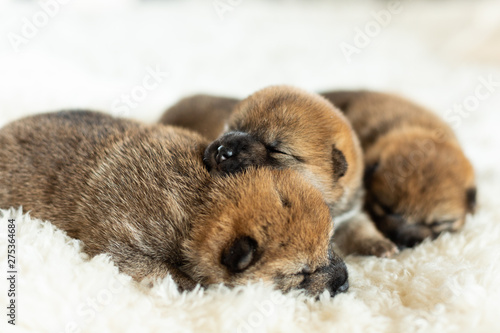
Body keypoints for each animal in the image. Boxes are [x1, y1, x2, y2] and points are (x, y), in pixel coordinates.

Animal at [0, 110, 350, 294]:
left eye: (331, 243)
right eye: (301, 274)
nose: (346, 283)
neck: (205, 203)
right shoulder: (119, 244)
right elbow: (164, 272)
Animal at [160, 85, 398, 256]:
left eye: (276, 149)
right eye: (233, 128)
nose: (222, 151)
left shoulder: (350, 212)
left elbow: (361, 226)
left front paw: (380, 244)